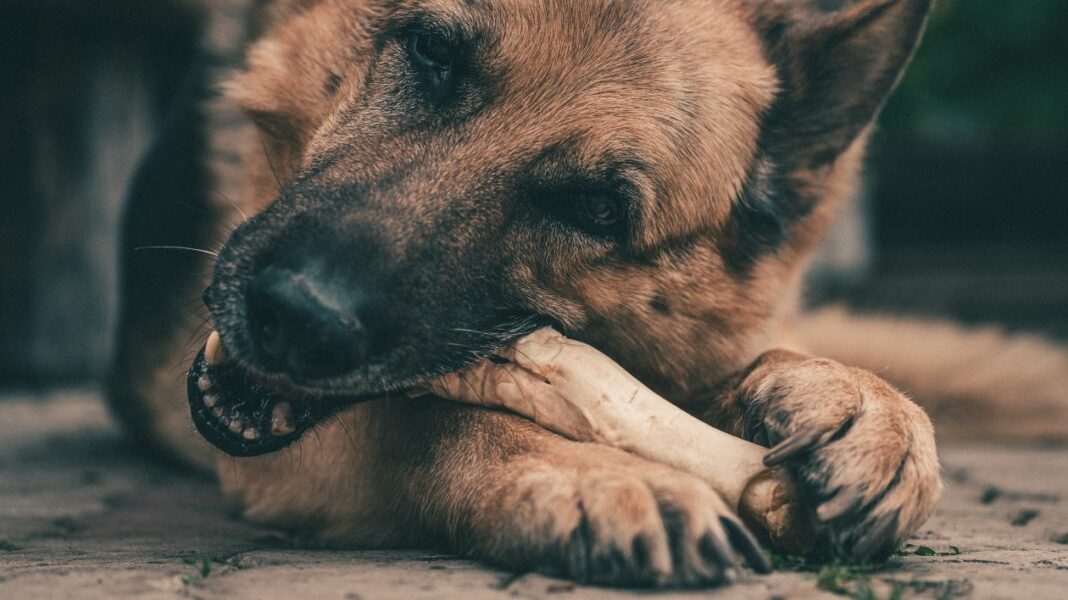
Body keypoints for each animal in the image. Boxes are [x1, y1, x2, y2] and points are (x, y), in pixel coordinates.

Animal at [104, 0, 1063, 589]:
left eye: (594, 207)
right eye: (432, 51)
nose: (298, 316)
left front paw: (860, 404)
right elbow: (428, 420)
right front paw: (593, 472)